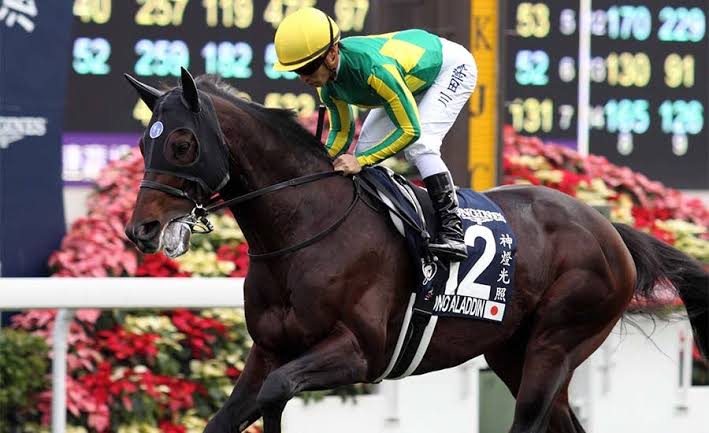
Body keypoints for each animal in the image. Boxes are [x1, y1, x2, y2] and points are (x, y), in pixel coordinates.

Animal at [124, 68, 708, 433]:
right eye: (143, 143)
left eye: (182, 143)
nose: (141, 229)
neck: (302, 229)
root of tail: (608, 227)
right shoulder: (268, 348)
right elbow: (231, 415)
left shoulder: (359, 352)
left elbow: (276, 393)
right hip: (512, 352)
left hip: (556, 345)